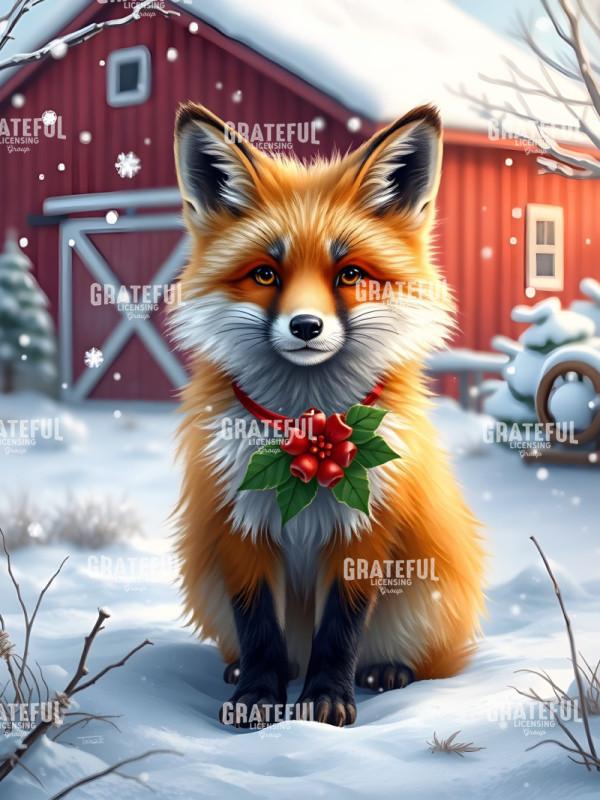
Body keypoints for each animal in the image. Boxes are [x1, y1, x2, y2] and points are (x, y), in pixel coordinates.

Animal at [171, 101, 485, 727]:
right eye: (266, 274)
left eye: (351, 275)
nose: (306, 326)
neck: (307, 427)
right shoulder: (237, 523)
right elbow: (258, 628)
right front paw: (258, 697)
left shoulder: (365, 528)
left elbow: (341, 628)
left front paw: (324, 702)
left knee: (417, 658)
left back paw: (389, 671)